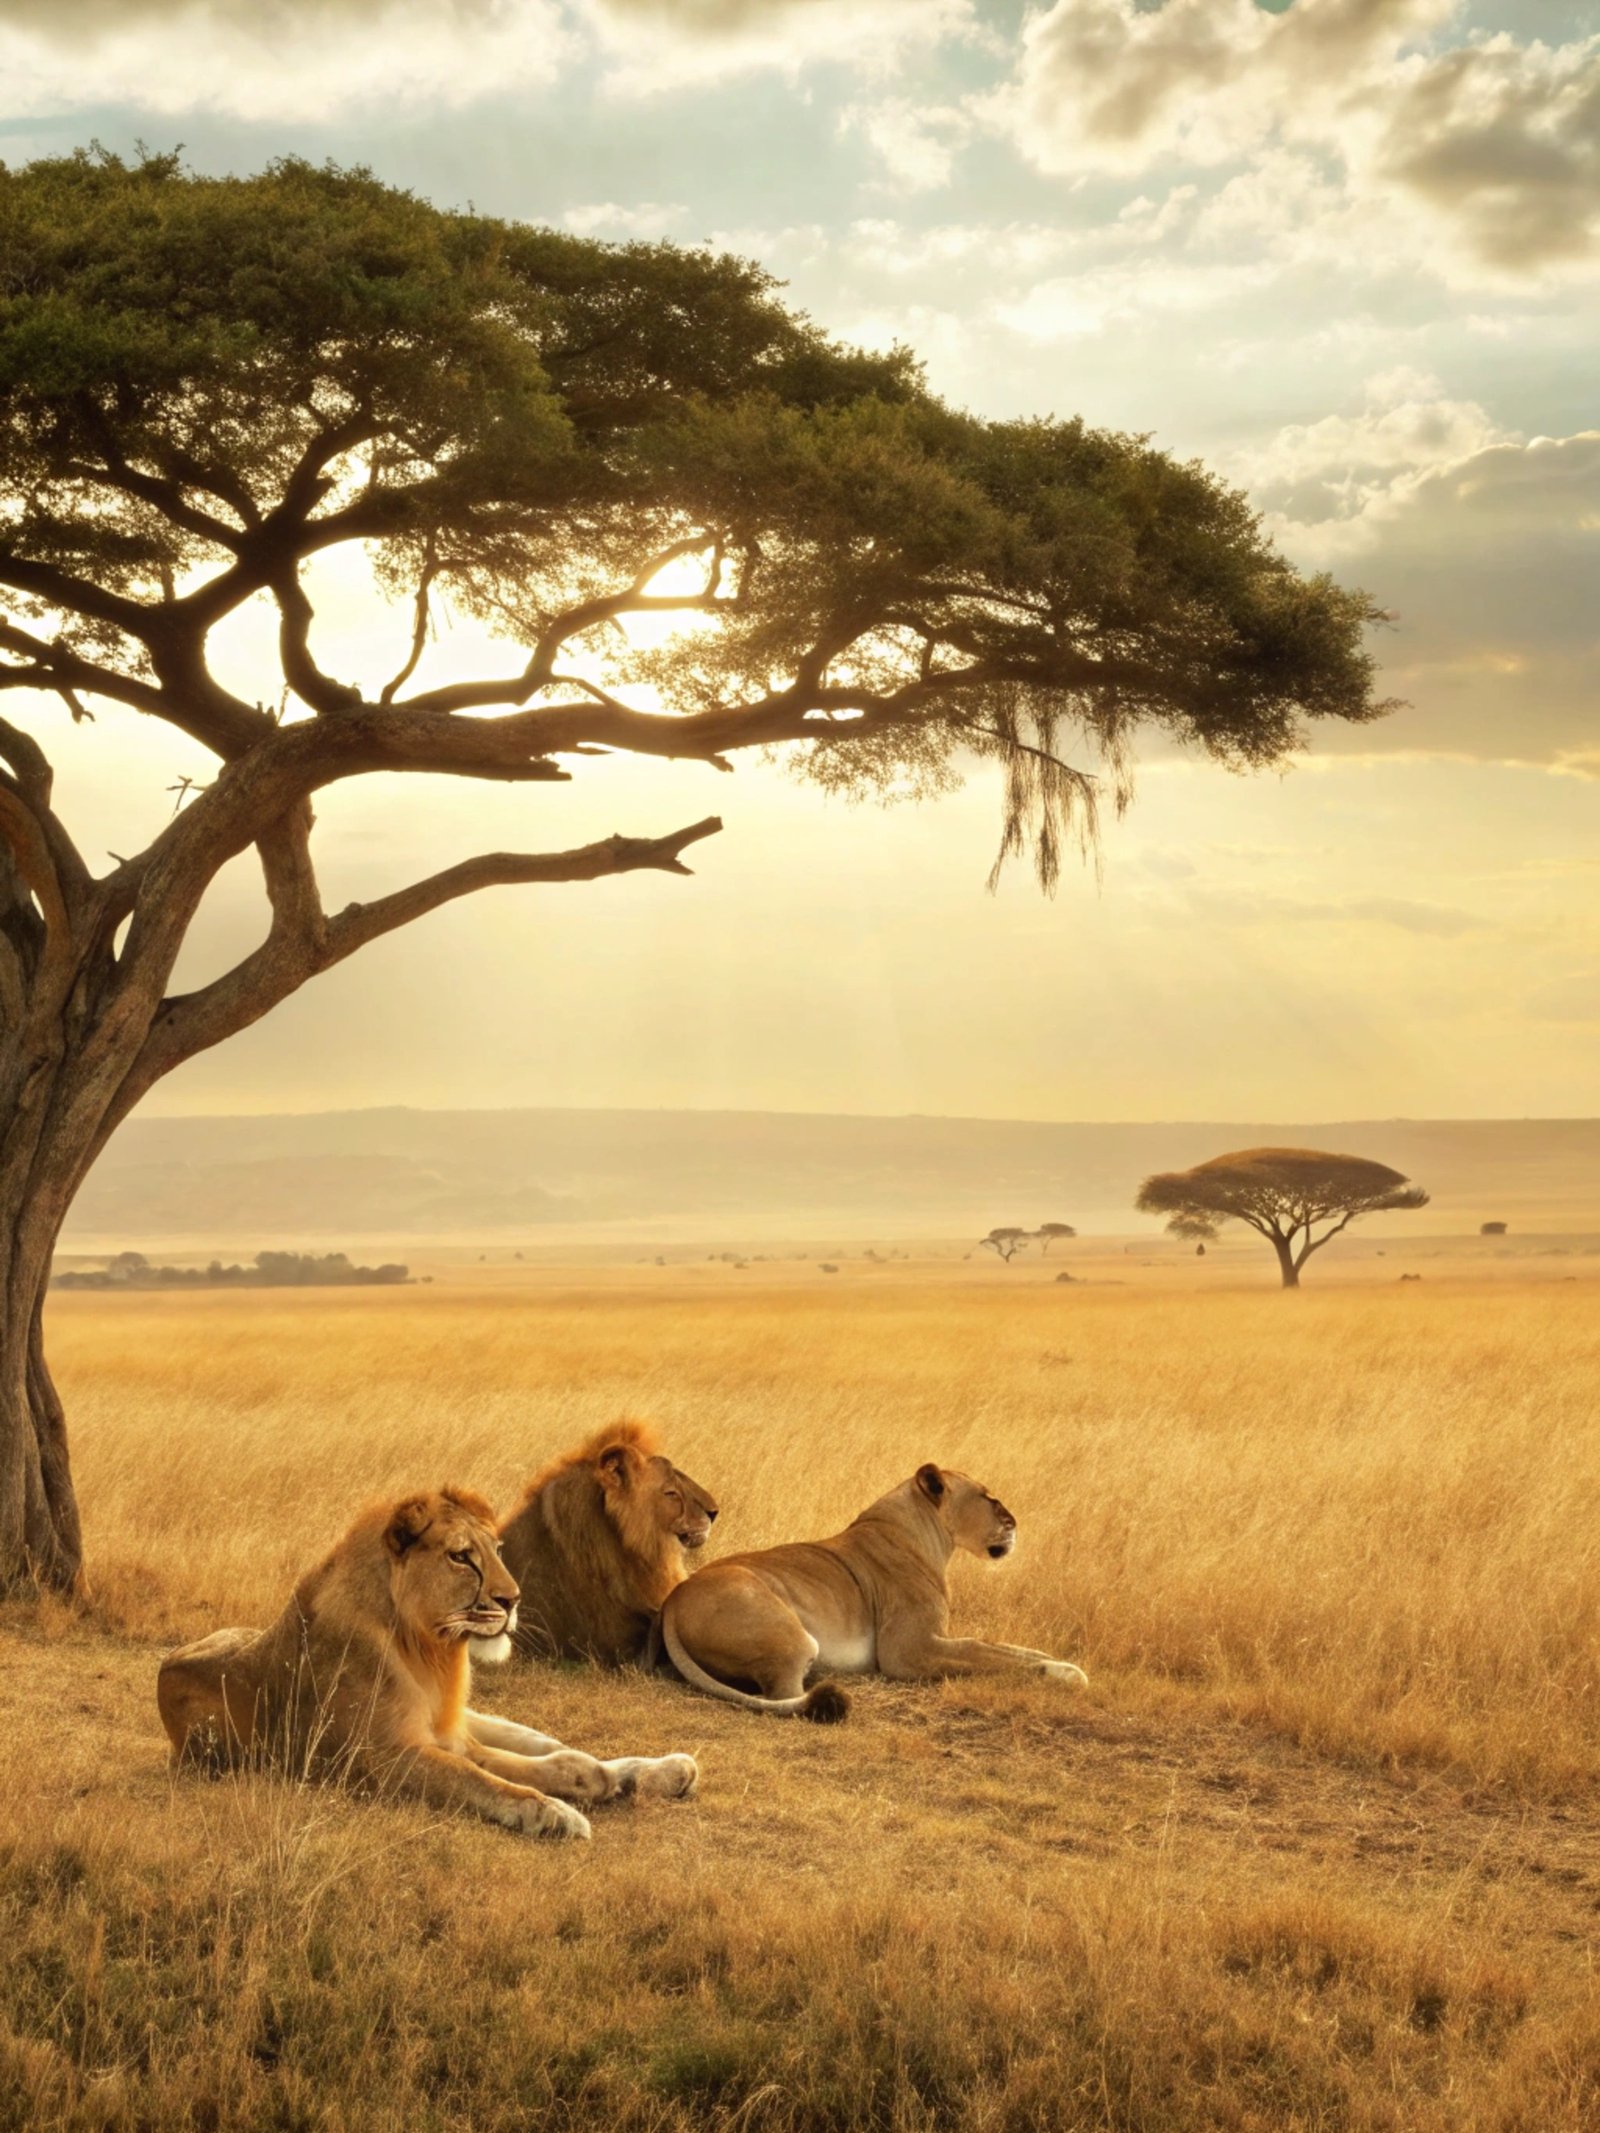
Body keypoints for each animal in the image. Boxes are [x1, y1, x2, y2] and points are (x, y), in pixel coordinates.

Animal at [156, 1485, 699, 1839]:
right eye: (461, 1557)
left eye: (496, 1550)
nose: (512, 1600)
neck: (428, 1649)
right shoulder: (384, 1758)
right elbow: (479, 1779)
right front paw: (555, 1813)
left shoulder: (450, 1737)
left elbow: (547, 1766)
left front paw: (588, 1785)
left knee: (548, 1743)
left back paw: (665, 1768)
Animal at [658, 1463, 1089, 1719]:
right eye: (988, 1498)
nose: (1014, 1523)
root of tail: (673, 1602)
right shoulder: (909, 1650)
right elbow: (981, 1653)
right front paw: (1064, 1673)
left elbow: (1002, 1648)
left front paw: (1061, 1663)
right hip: (794, 1637)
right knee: (782, 1696)